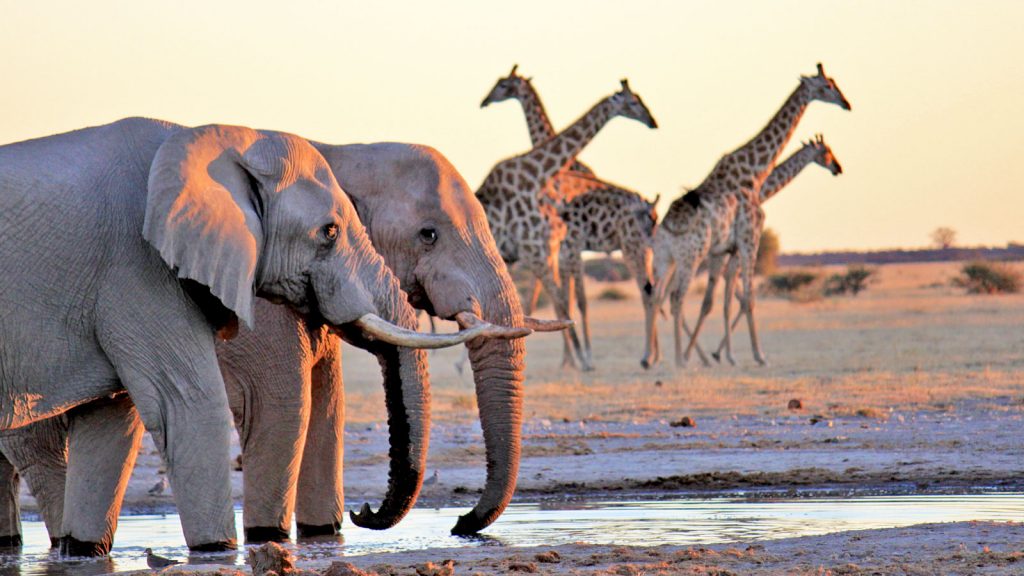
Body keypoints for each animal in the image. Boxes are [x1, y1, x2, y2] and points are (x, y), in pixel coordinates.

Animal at [0, 138, 563, 552]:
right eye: (429, 235)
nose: (461, 523)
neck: (339, 147)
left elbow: (328, 408)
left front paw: (323, 536)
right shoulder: (258, 311)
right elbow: (286, 405)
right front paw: (268, 539)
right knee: (39, 451)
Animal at [477, 79, 658, 370]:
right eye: (633, 101)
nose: (653, 121)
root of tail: (651, 206)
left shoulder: (554, 248)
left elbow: (566, 301)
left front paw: (579, 359)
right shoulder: (551, 249)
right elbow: (564, 300)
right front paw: (577, 359)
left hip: (635, 246)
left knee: (651, 290)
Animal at [711, 134, 843, 365]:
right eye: (826, 151)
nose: (838, 167)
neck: (761, 191)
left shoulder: (734, 252)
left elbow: (737, 298)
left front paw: (721, 353)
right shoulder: (740, 249)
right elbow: (741, 298)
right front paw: (735, 354)